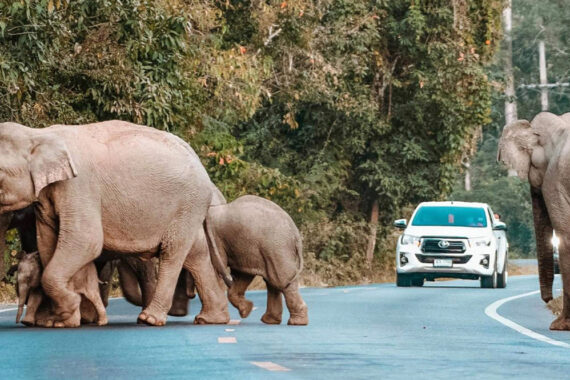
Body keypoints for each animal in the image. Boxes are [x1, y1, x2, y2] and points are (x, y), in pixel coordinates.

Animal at [0, 119, 232, 326]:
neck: (39, 134)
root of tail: (197, 157)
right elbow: (48, 244)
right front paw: (60, 321)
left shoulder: (79, 187)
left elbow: (86, 240)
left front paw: (69, 309)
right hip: (189, 209)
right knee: (196, 254)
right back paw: (211, 319)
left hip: (188, 203)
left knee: (172, 252)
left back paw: (149, 319)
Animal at [192, 196, 306, 324]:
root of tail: (296, 235)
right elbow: (243, 274)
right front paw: (247, 310)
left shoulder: (215, 239)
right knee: (272, 280)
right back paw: (270, 321)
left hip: (277, 247)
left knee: (281, 279)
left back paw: (296, 322)